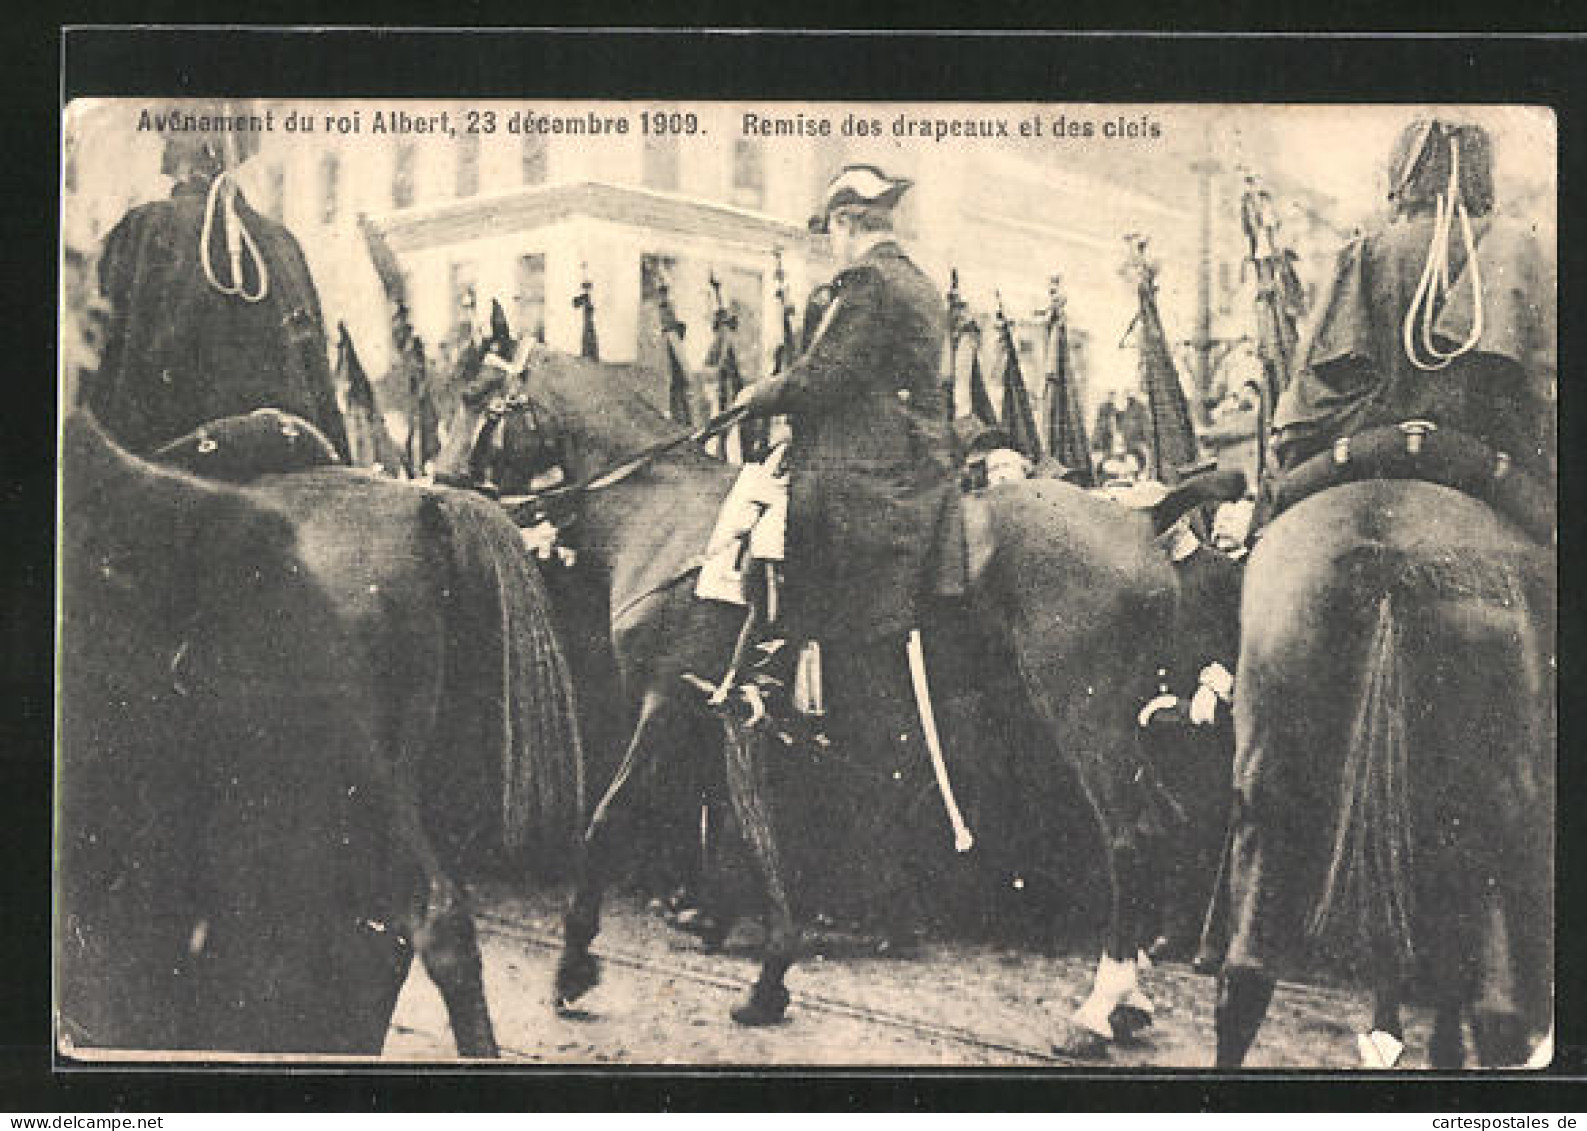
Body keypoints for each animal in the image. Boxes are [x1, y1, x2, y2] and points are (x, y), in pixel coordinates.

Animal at [444, 323, 1237, 1046]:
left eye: (477, 395)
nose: (445, 485)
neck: (666, 517)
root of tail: (1145, 516)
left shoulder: (666, 702)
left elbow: (609, 817)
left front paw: (575, 966)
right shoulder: (728, 715)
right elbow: (747, 830)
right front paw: (767, 977)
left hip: (1082, 713)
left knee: (1129, 834)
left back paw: (1097, 1010)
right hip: (1121, 720)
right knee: (1162, 823)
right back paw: (1131, 1000)